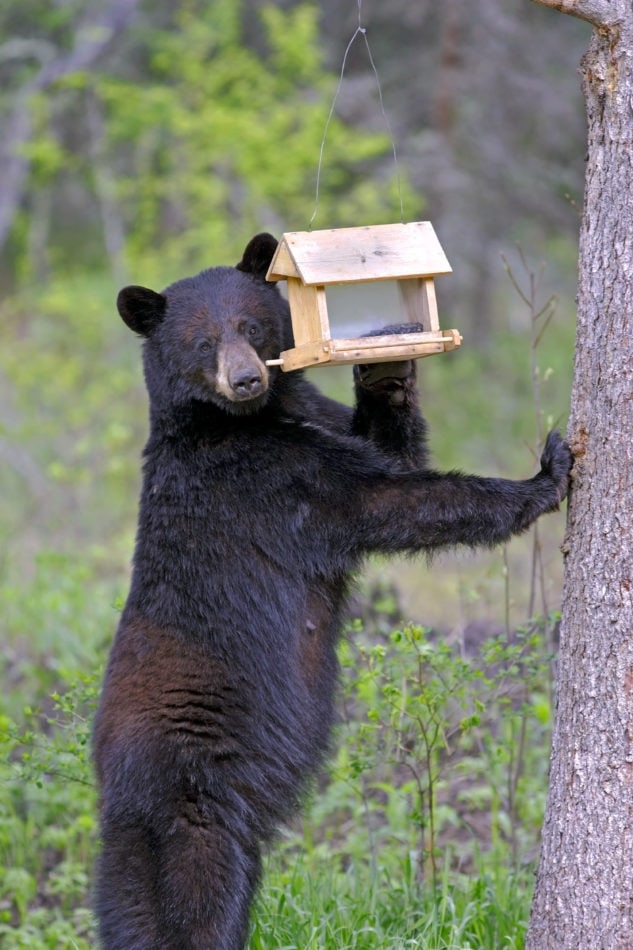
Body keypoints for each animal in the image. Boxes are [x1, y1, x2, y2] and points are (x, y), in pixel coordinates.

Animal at [94, 232, 572, 950]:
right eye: (202, 343)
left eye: (250, 326)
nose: (245, 378)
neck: (248, 419)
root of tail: (112, 791)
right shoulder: (271, 480)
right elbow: (388, 500)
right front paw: (545, 475)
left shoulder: (313, 422)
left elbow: (387, 451)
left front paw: (386, 361)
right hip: (192, 794)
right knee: (198, 894)